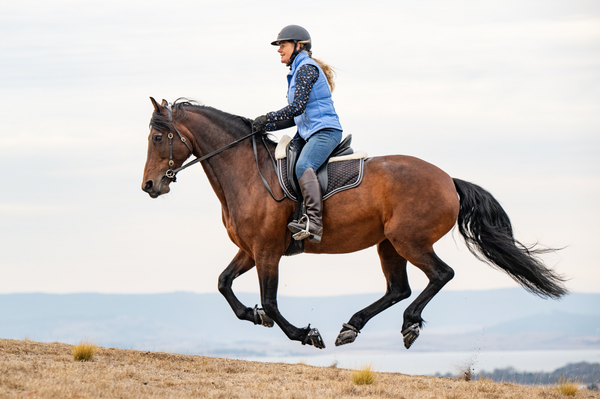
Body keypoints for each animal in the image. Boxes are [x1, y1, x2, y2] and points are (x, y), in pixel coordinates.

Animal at [142, 97, 568, 350]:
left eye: (159, 137)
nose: (149, 185)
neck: (248, 172)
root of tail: (449, 180)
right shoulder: (250, 250)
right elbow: (224, 284)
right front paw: (254, 315)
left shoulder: (267, 251)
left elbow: (271, 301)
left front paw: (305, 334)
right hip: (388, 244)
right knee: (399, 288)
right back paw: (353, 326)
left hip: (408, 240)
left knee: (440, 275)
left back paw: (409, 324)